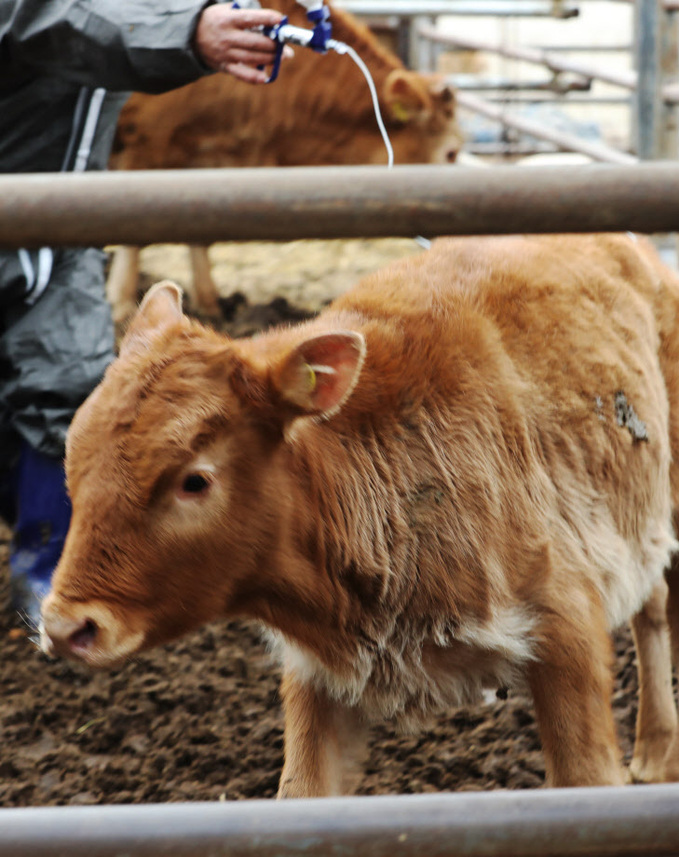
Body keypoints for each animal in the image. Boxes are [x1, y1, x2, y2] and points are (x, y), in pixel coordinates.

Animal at [39, 234, 679, 796]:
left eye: (194, 480)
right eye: (74, 455)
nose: (68, 627)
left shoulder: (566, 631)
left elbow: (586, 779)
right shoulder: (317, 681)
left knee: (655, 611)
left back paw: (656, 750)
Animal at [106, 0, 460, 320]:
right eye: (452, 152)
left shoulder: (201, 164)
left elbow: (199, 236)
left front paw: (210, 303)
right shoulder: (147, 145)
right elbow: (133, 237)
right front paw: (121, 303)